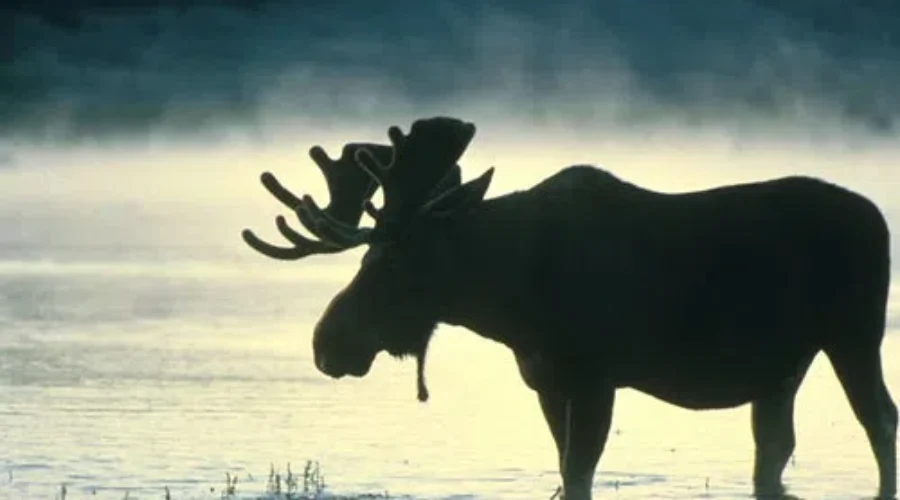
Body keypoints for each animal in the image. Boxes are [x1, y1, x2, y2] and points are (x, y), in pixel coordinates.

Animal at [242, 117, 897, 500]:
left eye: (397, 260)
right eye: (368, 255)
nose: (327, 343)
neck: (508, 295)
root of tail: (877, 217)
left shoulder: (594, 376)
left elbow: (580, 473)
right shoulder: (545, 380)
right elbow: (564, 469)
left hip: (853, 334)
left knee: (879, 419)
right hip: (784, 367)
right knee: (775, 448)